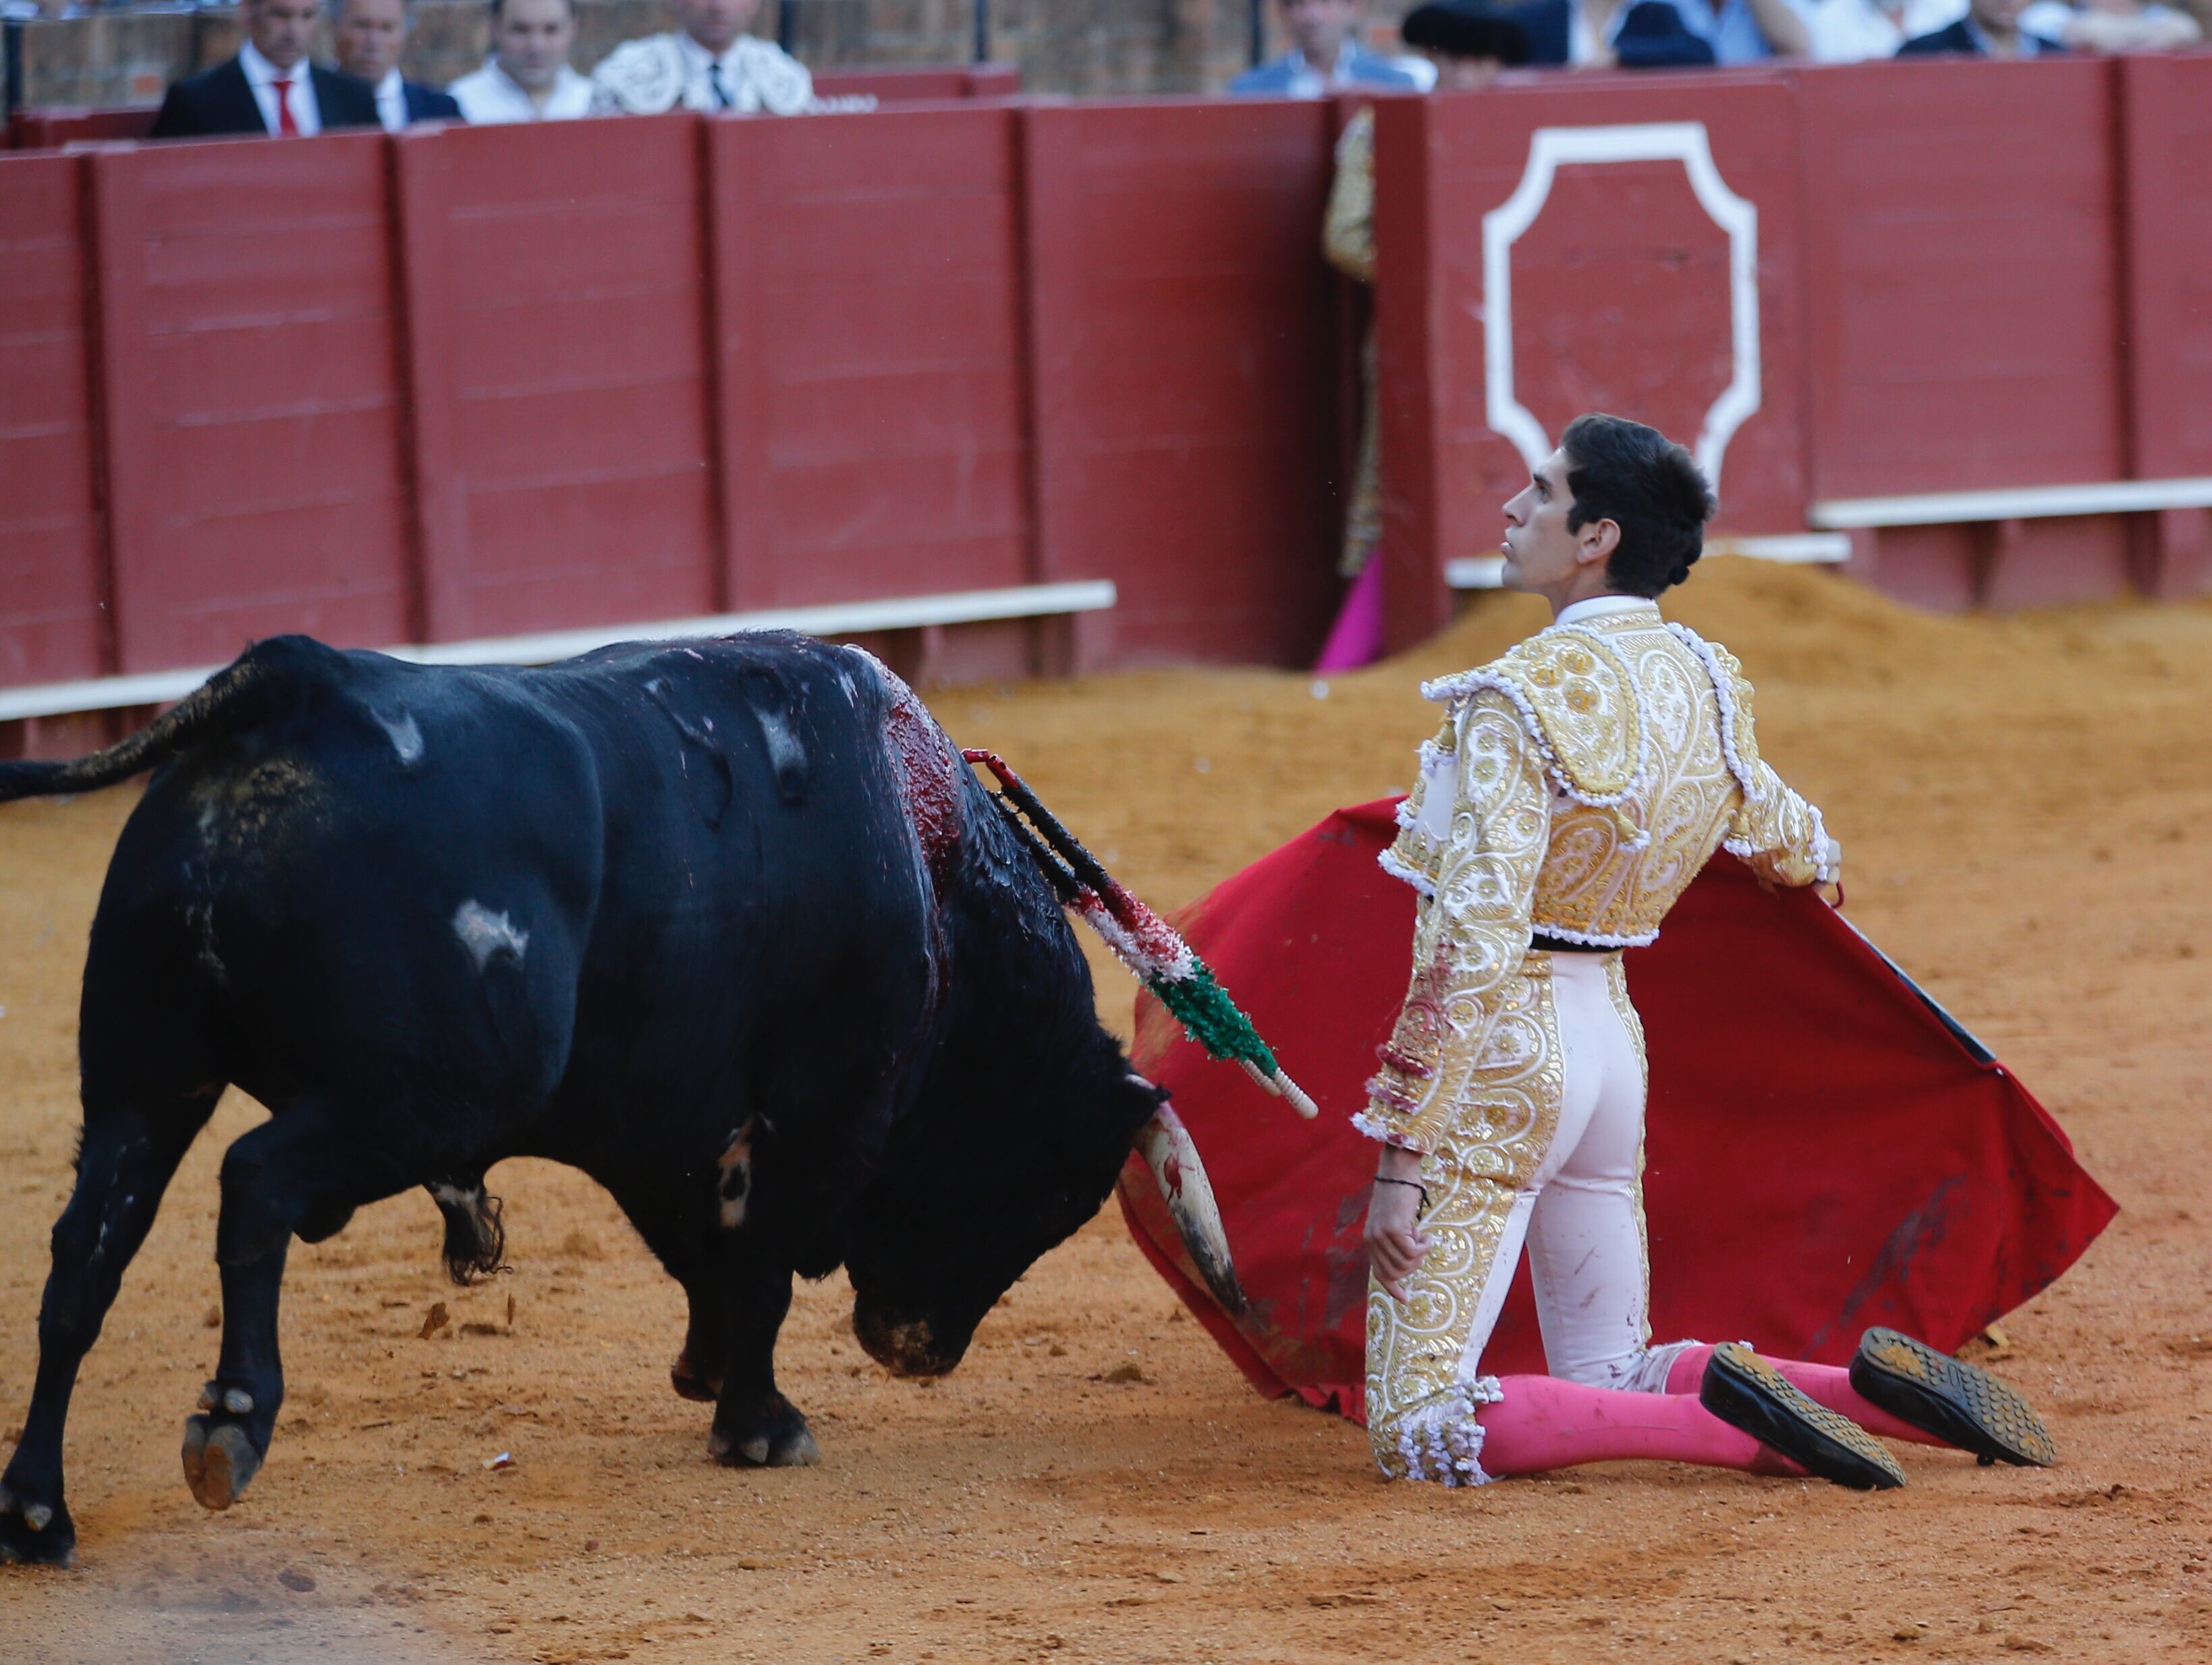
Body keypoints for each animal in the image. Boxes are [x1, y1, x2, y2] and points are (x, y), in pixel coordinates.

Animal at [0, 627, 1247, 1565]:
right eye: (1052, 1197)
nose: (917, 1351)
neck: (927, 856)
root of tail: (294, 684)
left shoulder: (661, 1111)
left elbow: (703, 1252)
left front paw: (710, 1379)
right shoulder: (817, 1105)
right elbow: (760, 1263)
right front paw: (759, 1425)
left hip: (144, 1080)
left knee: (83, 1263)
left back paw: (36, 1511)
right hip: (421, 1095)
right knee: (252, 1181)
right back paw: (231, 1424)